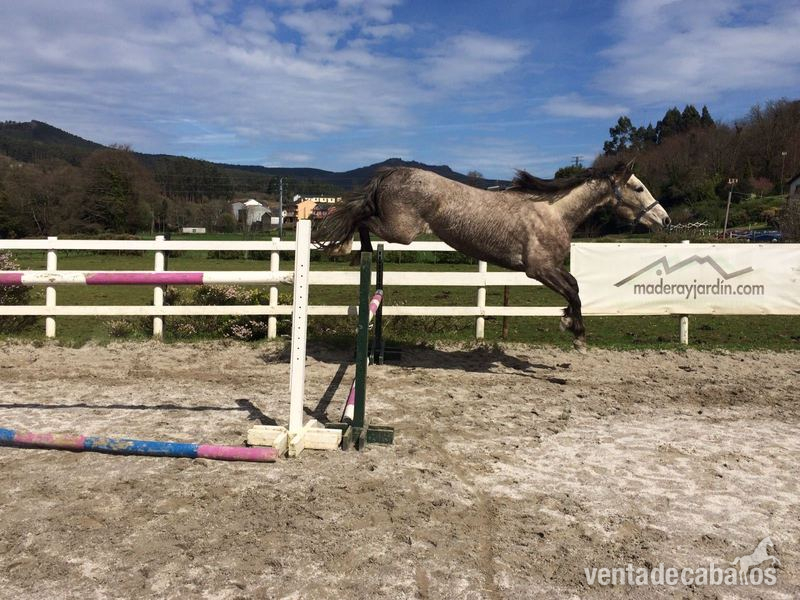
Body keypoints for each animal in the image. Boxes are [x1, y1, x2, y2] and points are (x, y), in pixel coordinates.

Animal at [313, 161, 670, 351]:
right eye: (639, 188)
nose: (665, 220)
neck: (554, 212)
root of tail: (392, 172)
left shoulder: (550, 267)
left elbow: (575, 287)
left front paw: (568, 321)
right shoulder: (539, 269)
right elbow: (573, 289)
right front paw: (578, 334)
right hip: (400, 231)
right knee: (360, 216)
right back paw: (347, 248)